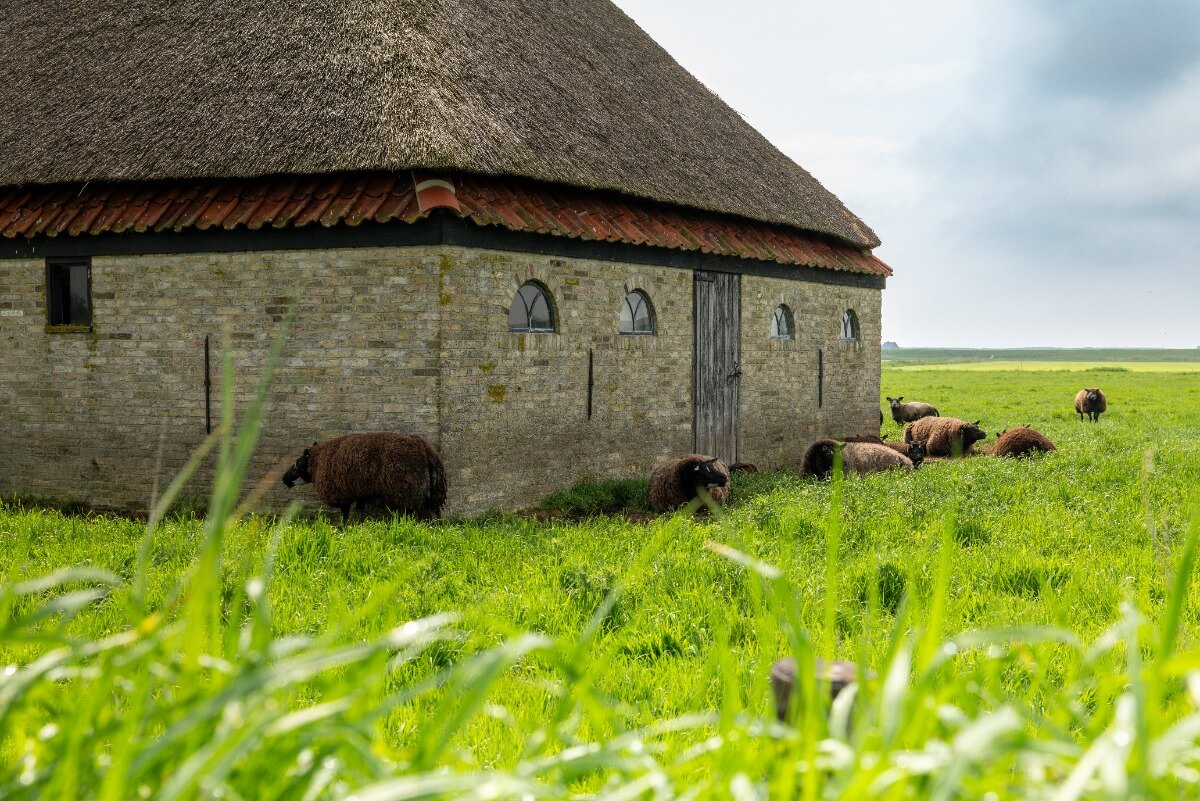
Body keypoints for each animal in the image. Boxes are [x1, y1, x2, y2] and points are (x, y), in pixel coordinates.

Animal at [280, 431, 446, 525]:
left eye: (299, 463)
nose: (284, 479)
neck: (318, 463)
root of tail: (426, 449)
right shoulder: (361, 493)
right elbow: (359, 511)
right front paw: (360, 527)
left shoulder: (343, 495)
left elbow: (345, 515)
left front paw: (344, 529)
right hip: (431, 494)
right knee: (435, 514)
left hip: (410, 491)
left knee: (425, 515)